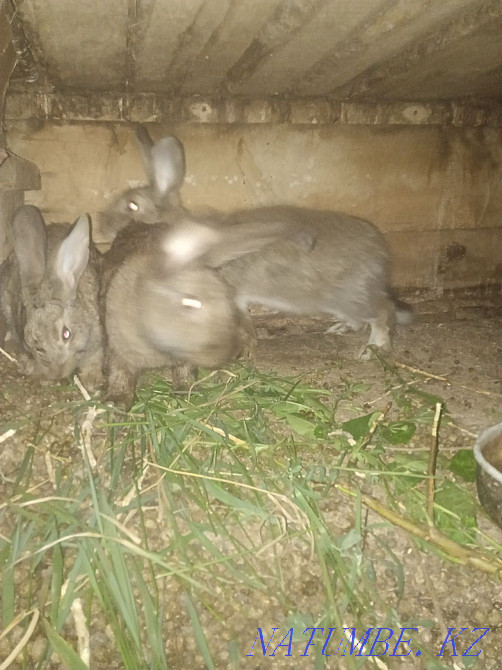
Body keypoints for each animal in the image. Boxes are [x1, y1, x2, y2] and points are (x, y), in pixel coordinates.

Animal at [100, 213, 314, 409]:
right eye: (189, 303)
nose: (226, 354)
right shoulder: (119, 348)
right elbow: (120, 374)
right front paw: (115, 402)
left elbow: (184, 370)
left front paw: (185, 391)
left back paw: (247, 347)